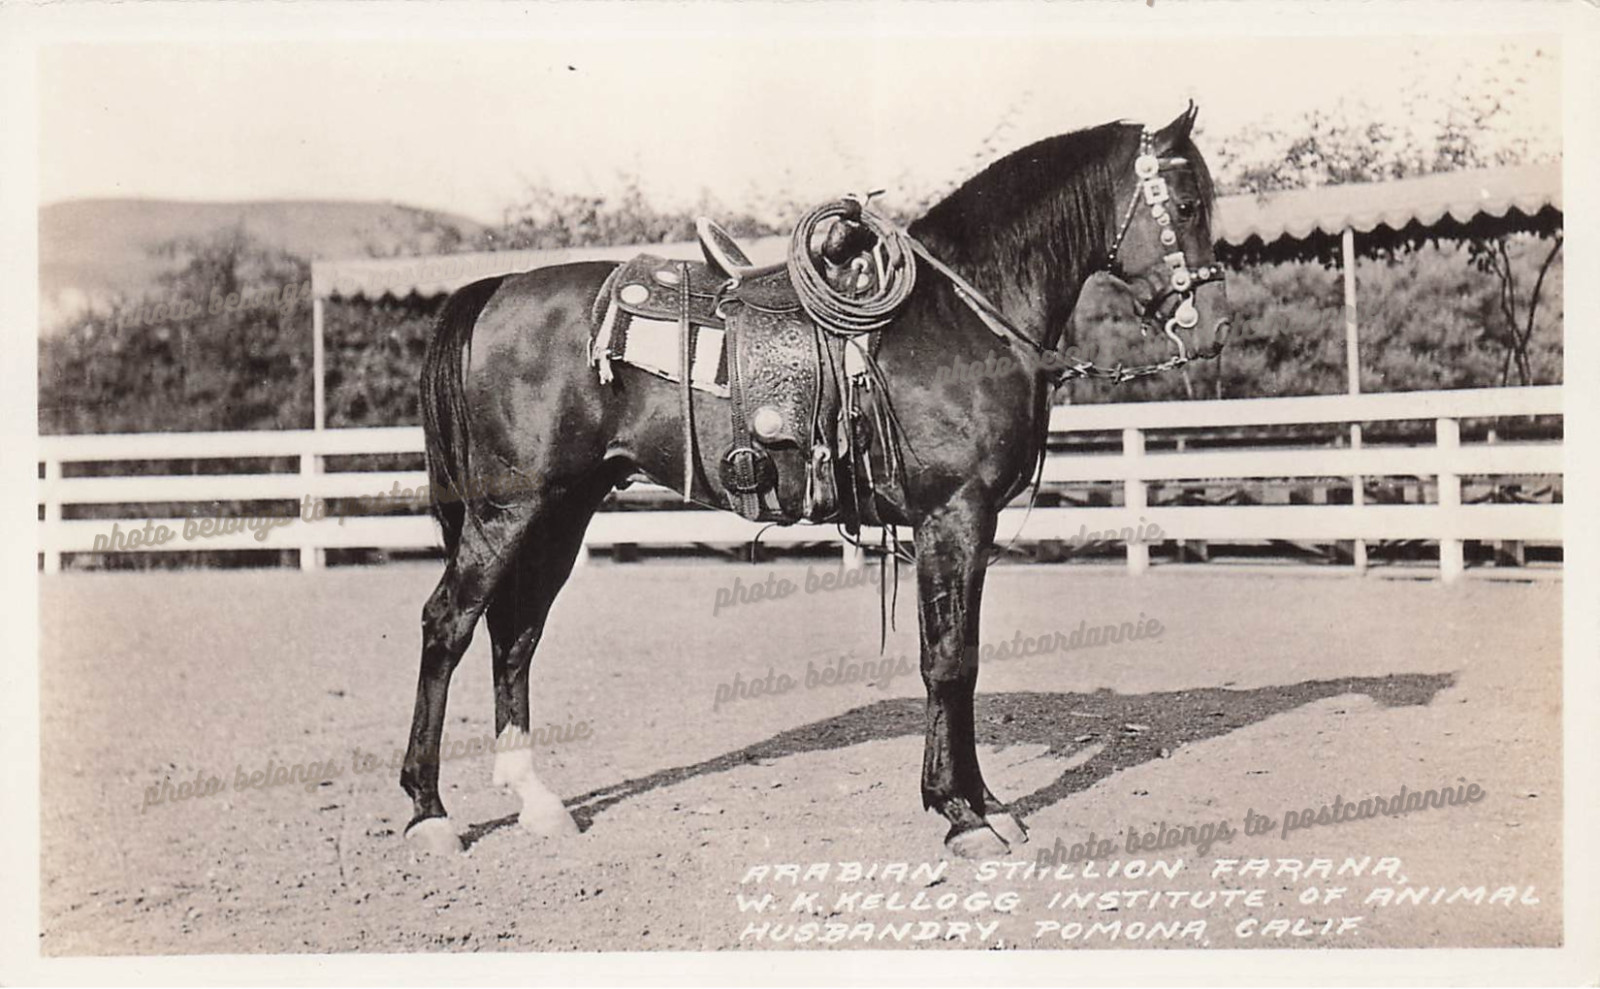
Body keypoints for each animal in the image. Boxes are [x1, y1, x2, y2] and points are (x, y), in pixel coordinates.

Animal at [400, 105, 1231, 859]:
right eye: (1188, 204)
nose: (1215, 324)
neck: (959, 315)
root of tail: (498, 288)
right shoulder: (953, 516)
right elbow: (948, 660)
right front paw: (961, 813)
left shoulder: (963, 525)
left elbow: (959, 655)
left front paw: (984, 802)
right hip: (509, 510)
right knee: (448, 623)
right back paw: (429, 810)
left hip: (563, 510)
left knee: (516, 633)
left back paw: (536, 801)